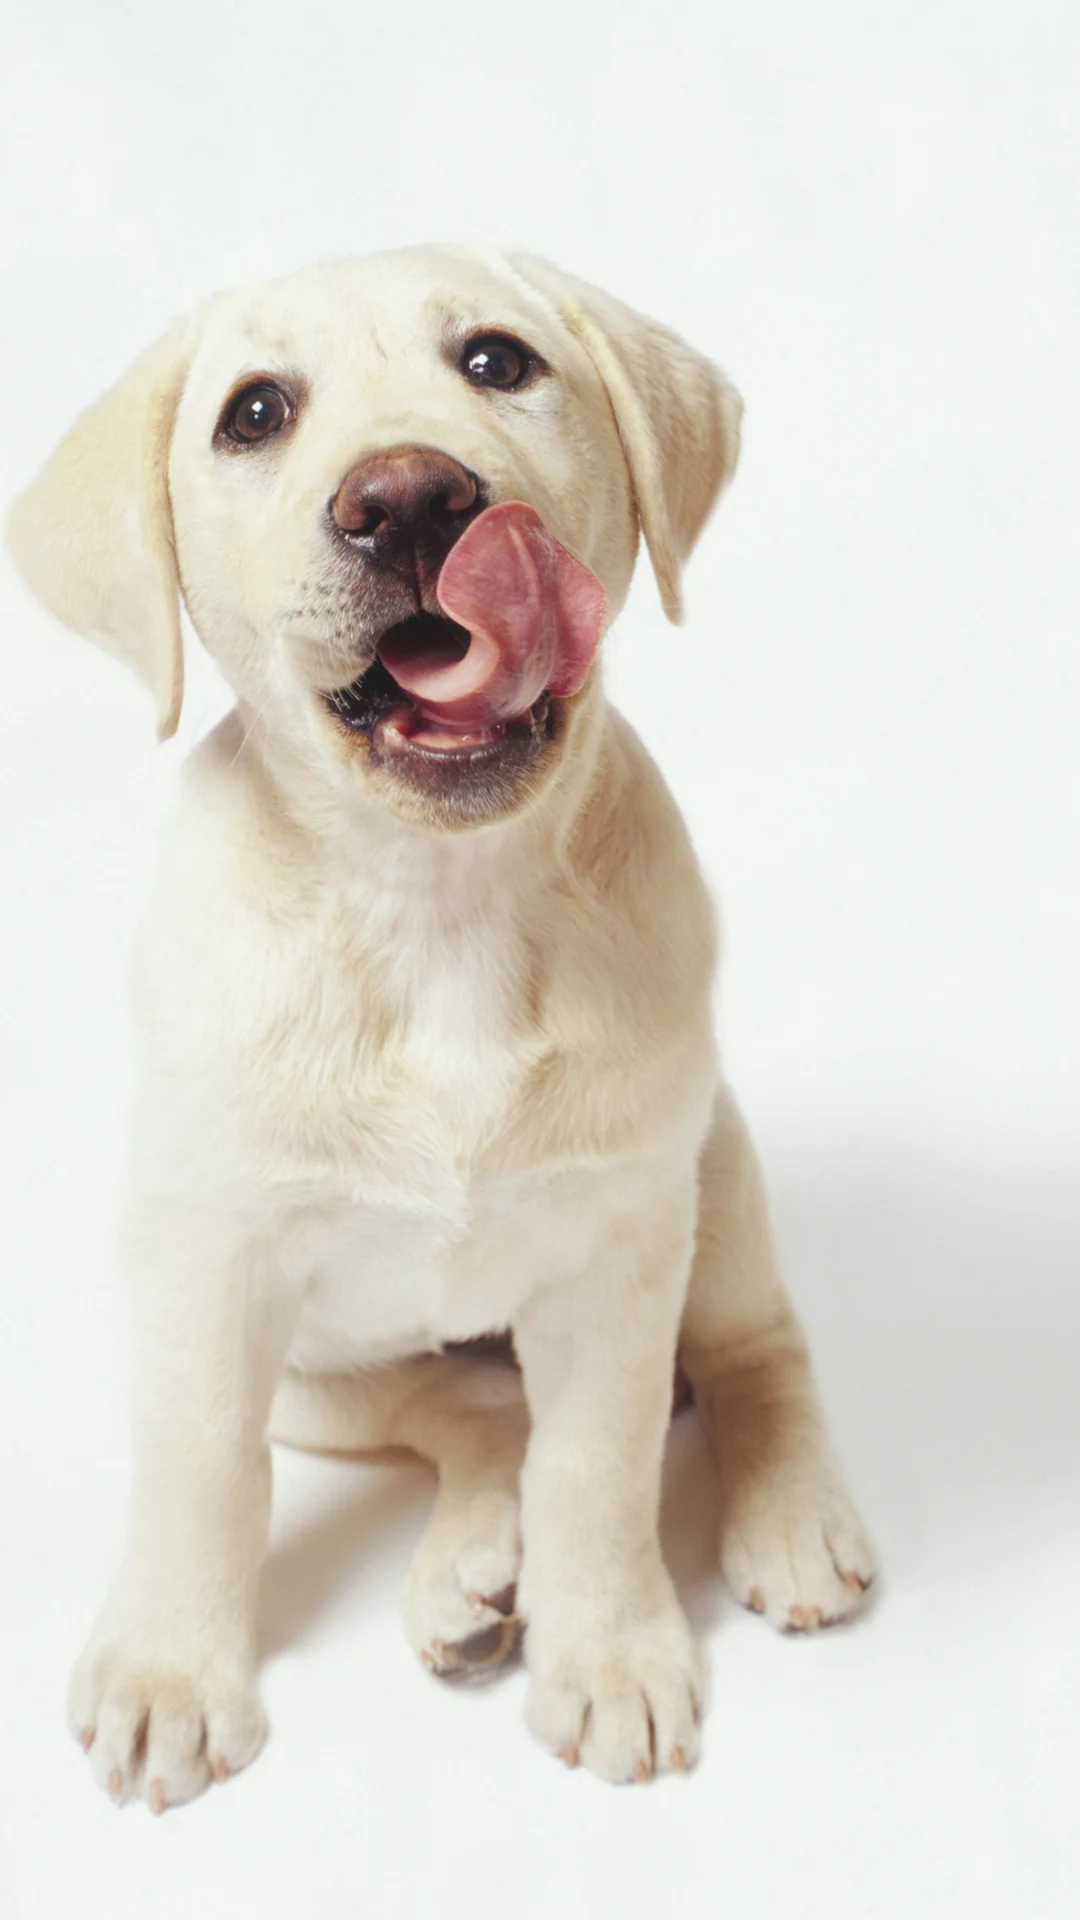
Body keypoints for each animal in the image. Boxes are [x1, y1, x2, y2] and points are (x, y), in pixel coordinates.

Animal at [6, 251, 864, 1812]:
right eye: (255, 413)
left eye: (497, 361)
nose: (407, 498)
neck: (436, 907)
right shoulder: (207, 1264)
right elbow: (199, 1466)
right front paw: (169, 1666)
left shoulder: (615, 1255)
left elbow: (595, 1465)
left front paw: (610, 1654)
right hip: (318, 1374)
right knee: (469, 1413)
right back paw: (469, 1574)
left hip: (709, 1177)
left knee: (752, 1347)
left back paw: (786, 1516)